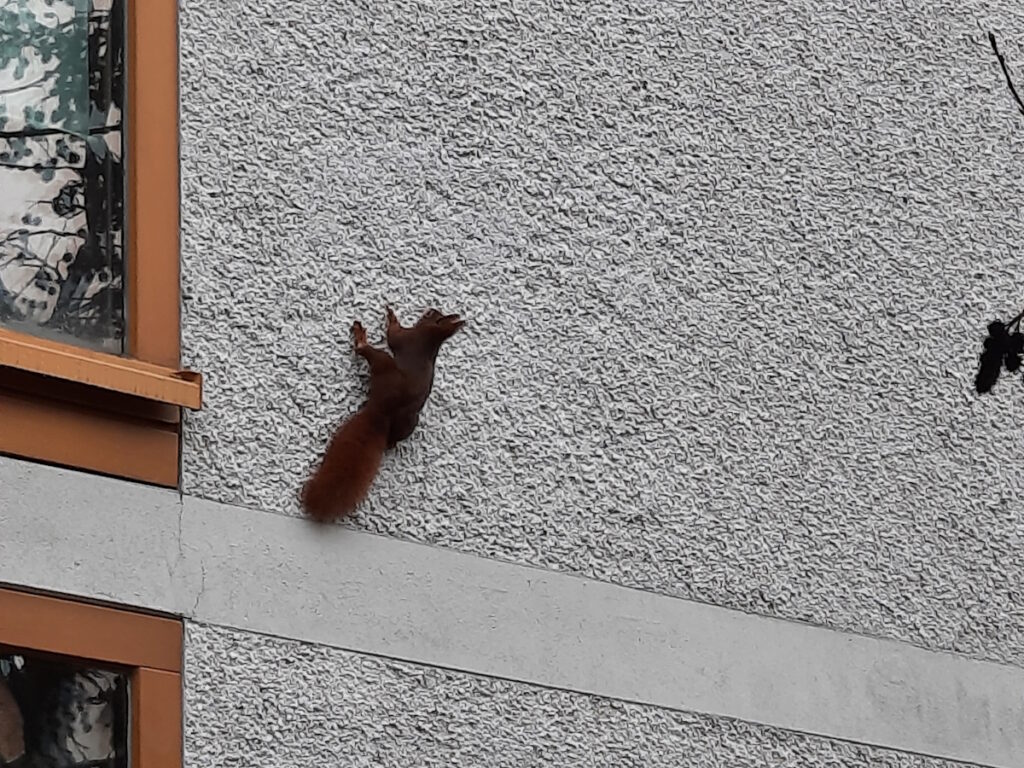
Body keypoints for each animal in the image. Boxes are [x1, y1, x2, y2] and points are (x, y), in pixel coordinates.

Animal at [300, 306, 465, 522]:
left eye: (431, 315)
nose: (429, 309)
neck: (433, 339)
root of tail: (381, 412)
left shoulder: (407, 337)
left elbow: (393, 334)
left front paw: (391, 316)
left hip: (382, 362)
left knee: (364, 351)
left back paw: (361, 337)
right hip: (409, 423)